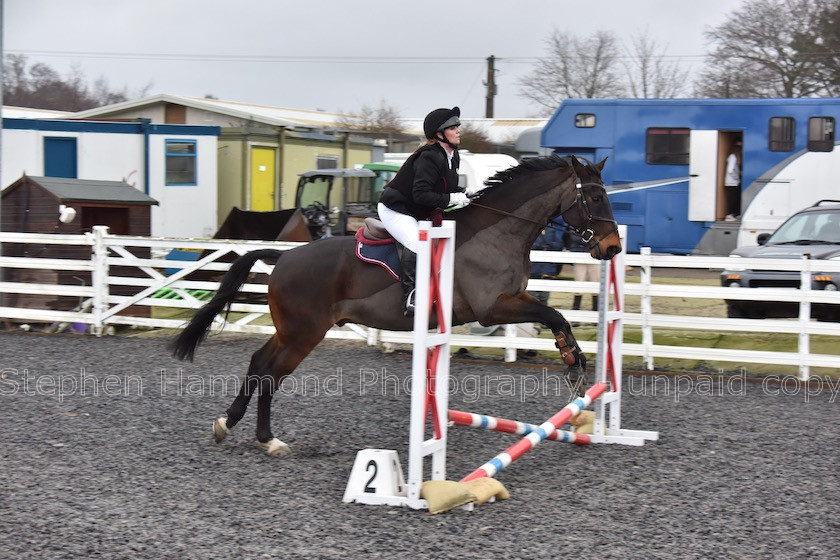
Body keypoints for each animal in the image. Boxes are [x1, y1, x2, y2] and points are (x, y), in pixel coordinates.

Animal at [172, 153, 616, 456]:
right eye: (595, 196)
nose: (612, 248)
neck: (499, 231)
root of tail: (284, 257)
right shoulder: (493, 307)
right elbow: (552, 313)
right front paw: (573, 362)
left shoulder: (511, 300)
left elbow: (557, 317)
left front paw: (573, 358)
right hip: (302, 334)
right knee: (269, 373)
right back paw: (263, 437)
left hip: (291, 331)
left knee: (259, 364)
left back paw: (234, 426)